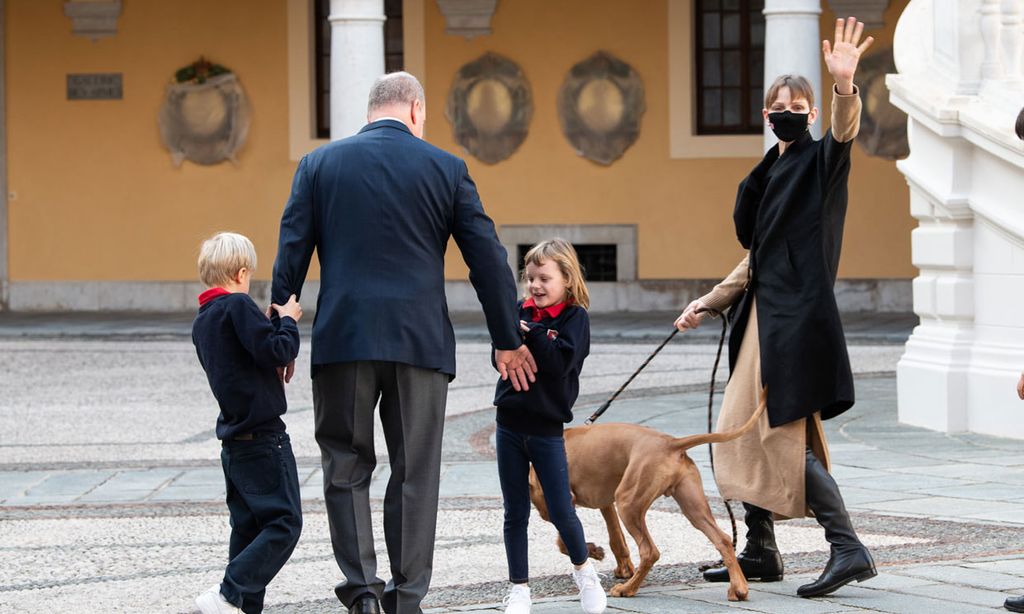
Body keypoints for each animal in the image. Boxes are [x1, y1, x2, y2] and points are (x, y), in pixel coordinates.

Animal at [528, 392, 761, 597]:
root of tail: (671, 442)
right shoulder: (606, 503)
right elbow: (615, 538)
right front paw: (617, 565)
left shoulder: (561, 503)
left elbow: (563, 540)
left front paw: (591, 550)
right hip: (691, 506)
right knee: (723, 539)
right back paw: (739, 589)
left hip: (628, 503)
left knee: (650, 551)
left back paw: (627, 589)